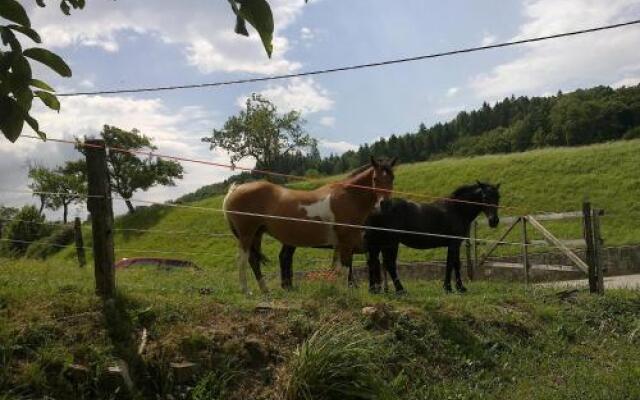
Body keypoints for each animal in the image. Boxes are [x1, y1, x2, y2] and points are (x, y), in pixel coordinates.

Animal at [224, 157, 396, 294]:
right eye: (375, 179)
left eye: (392, 178)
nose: (384, 203)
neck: (348, 197)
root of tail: (235, 190)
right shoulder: (346, 242)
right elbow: (346, 268)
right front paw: (347, 292)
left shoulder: (342, 244)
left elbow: (340, 268)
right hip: (246, 235)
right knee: (242, 259)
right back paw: (246, 290)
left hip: (257, 234)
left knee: (253, 260)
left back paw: (265, 290)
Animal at [364, 183, 500, 292]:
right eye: (485, 197)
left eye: (498, 197)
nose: (494, 221)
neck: (457, 210)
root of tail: (378, 207)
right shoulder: (453, 244)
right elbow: (450, 264)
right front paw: (448, 287)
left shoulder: (456, 244)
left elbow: (456, 264)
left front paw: (460, 287)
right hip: (391, 243)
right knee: (389, 264)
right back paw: (400, 289)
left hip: (378, 244)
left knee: (373, 262)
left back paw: (373, 289)